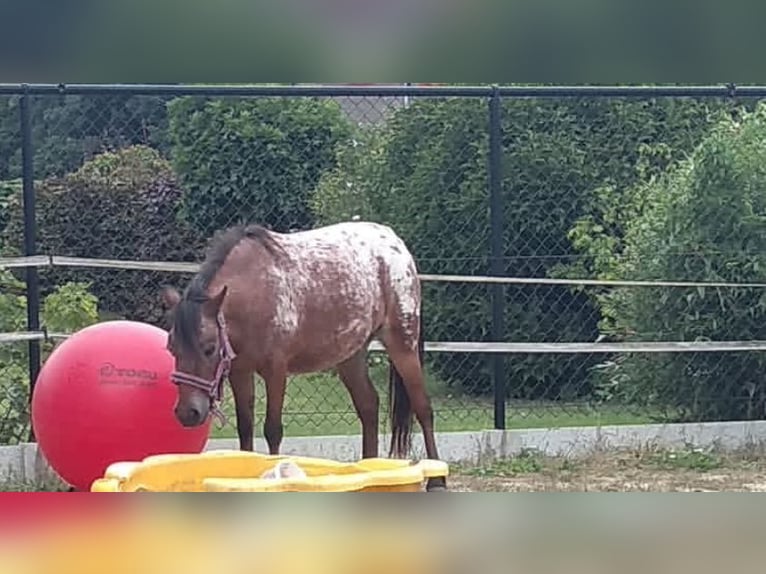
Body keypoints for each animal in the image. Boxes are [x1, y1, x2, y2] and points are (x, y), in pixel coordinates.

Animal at [160, 220, 447, 491]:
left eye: (209, 348)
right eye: (172, 349)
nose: (188, 413)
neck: (256, 289)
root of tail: (395, 242)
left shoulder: (275, 371)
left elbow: (272, 430)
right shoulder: (240, 372)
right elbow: (245, 427)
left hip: (402, 344)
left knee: (423, 408)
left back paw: (437, 480)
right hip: (350, 355)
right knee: (369, 406)